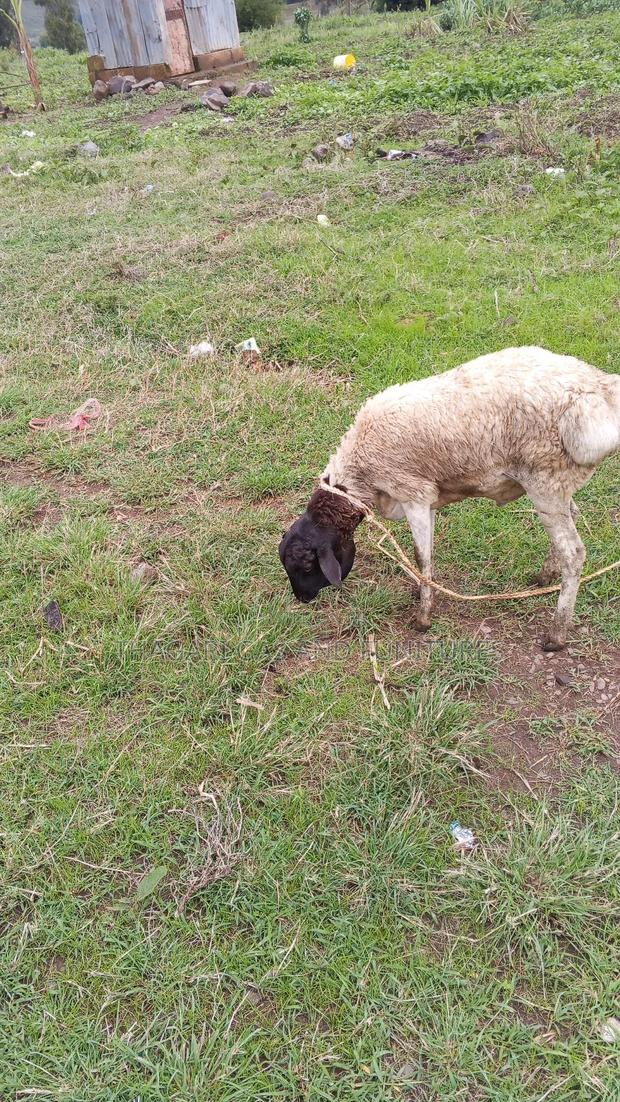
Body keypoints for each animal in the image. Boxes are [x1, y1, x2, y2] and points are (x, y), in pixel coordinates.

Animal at [279, 346, 620, 650]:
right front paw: (422, 590)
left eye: (307, 564)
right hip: (557, 483)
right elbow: (425, 556)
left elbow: (421, 557)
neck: (358, 474)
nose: (302, 599)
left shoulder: (415, 494)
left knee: (573, 552)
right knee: (571, 519)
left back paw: (556, 635)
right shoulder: (426, 500)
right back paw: (545, 576)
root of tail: (601, 393)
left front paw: (423, 618)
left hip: (544, 479)